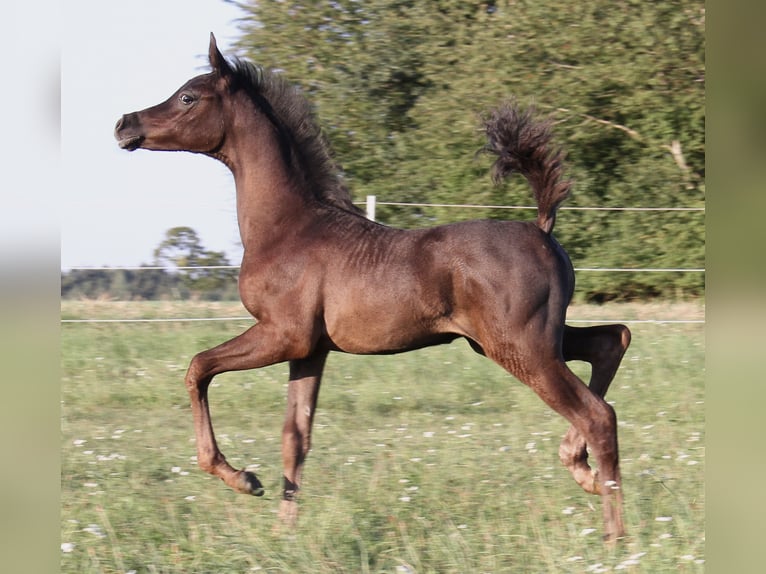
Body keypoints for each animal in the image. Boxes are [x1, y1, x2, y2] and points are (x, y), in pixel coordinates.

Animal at [112, 32, 632, 544]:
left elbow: (198, 368)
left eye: (188, 96)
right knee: (613, 341)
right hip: (531, 338)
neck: (289, 226)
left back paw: (614, 534)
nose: (123, 124)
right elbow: (294, 436)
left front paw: (242, 478)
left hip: (520, 345)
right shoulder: (310, 350)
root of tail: (542, 229)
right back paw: (580, 467)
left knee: (597, 413)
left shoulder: (283, 334)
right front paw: (285, 531)